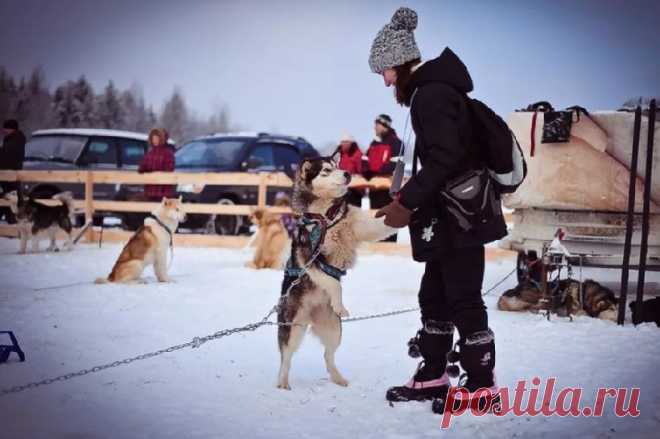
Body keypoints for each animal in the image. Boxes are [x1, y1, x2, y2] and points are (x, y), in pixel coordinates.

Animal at [274, 156, 394, 390]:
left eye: (338, 166)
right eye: (326, 171)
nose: (347, 173)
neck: (326, 217)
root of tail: (311, 316)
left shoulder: (362, 225)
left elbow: (383, 223)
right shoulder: (310, 259)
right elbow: (334, 283)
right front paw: (340, 304)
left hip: (334, 330)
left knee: (328, 356)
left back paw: (338, 377)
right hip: (293, 328)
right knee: (286, 357)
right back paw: (282, 383)